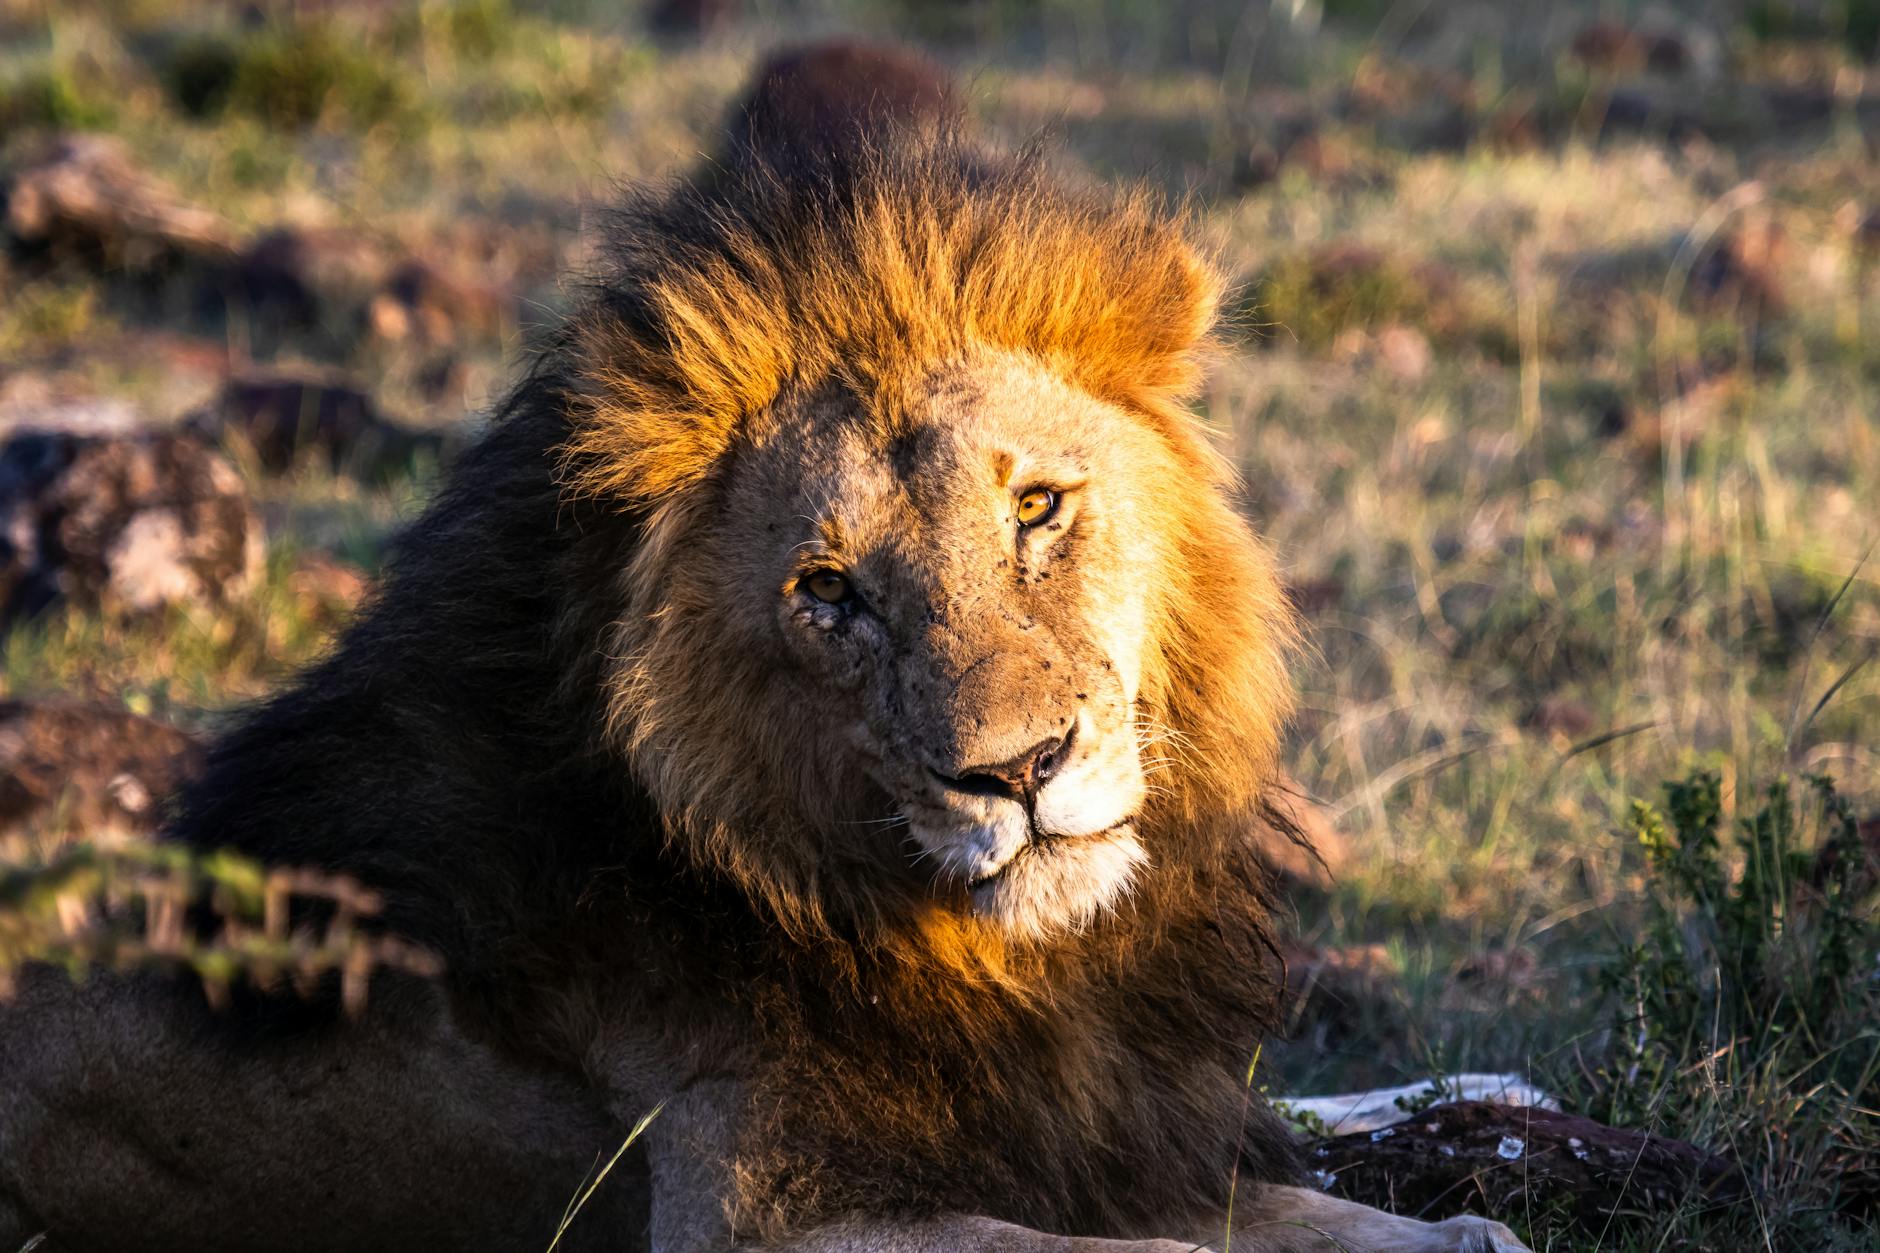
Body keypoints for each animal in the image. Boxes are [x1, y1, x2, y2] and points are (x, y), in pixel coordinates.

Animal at [0, 44, 1529, 1253]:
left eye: (1035, 507)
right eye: (828, 590)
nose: (1020, 771)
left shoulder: (1135, 1135)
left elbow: (1388, 1218)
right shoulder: (769, 1219)